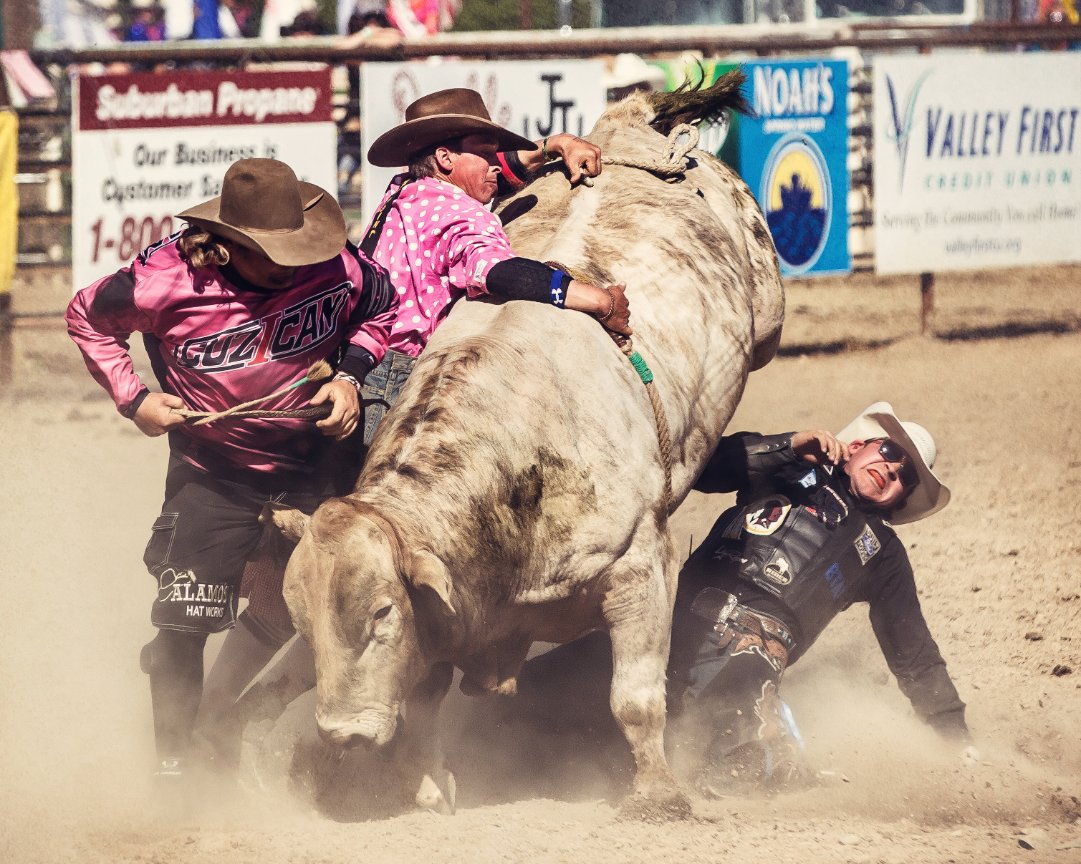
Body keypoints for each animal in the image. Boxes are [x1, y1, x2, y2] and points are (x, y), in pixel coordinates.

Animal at [277, 71, 784, 818]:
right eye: (305, 625)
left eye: (380, 614)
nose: (345, 735)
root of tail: (630, 124)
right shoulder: (450, 606)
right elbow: (424, 702)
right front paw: (428, 786)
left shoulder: (640, 567)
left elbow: (635, 700)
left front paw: (658, 795)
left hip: (769, 307)